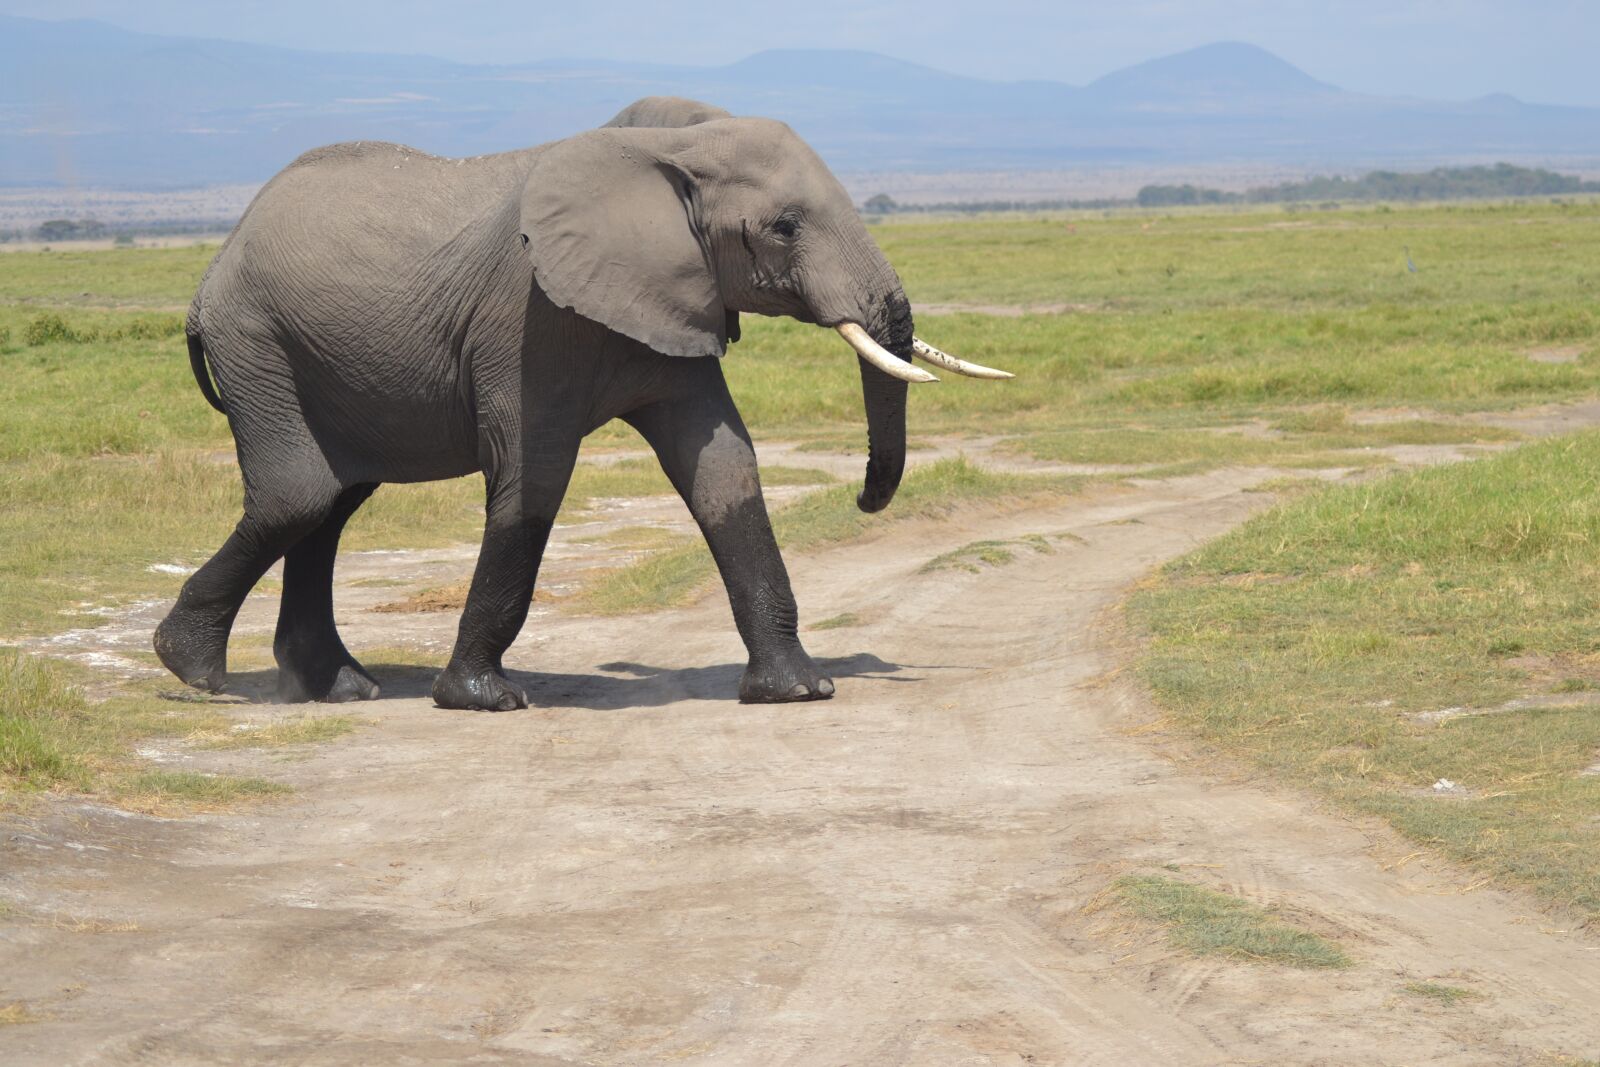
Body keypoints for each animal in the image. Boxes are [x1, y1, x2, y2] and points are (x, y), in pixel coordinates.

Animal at [153, 97, 1011, 711]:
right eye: (785, 227)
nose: (867, 499)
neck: (673, 145)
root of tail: (212, 270)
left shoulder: (674, 300)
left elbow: (724, 467)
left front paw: (799, 691)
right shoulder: (527, 318)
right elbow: (532, 476)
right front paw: (482, 699)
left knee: (331, 504)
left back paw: (336, 688)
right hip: (259, 344)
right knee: (301, 497)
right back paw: (195, 672)